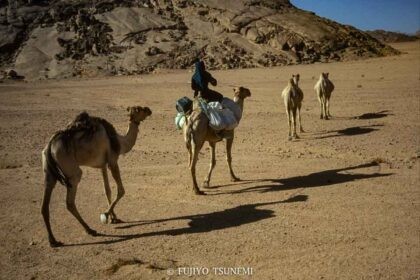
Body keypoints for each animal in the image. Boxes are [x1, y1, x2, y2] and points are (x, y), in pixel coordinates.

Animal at [41, 105, 152, 247]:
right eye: (140, 109)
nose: (149, 110)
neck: (120, 142)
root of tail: (50, 146)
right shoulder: (112, 161)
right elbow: (121, 190)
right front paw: (106, 215)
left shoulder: (102, 165)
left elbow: (107, 190)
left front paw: (114, 217)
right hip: (71, 170)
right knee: (70, 202)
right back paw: (90, 230)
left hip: (48, 172)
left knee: (45, 204)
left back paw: (53, 240)